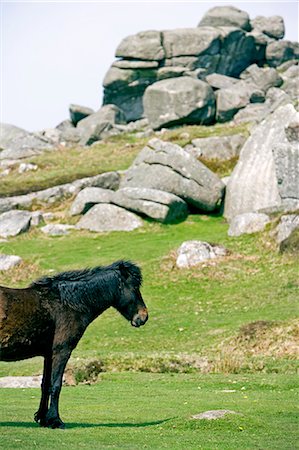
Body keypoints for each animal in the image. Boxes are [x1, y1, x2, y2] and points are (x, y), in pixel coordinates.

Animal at [0, 260, 149, 428]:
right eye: (135, 287)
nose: (143, 316)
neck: (67, 303)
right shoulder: (62, 351)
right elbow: (56, 385)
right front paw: (55, 420)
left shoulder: (49, 354)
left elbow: (45, 385)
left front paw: (43, 418)